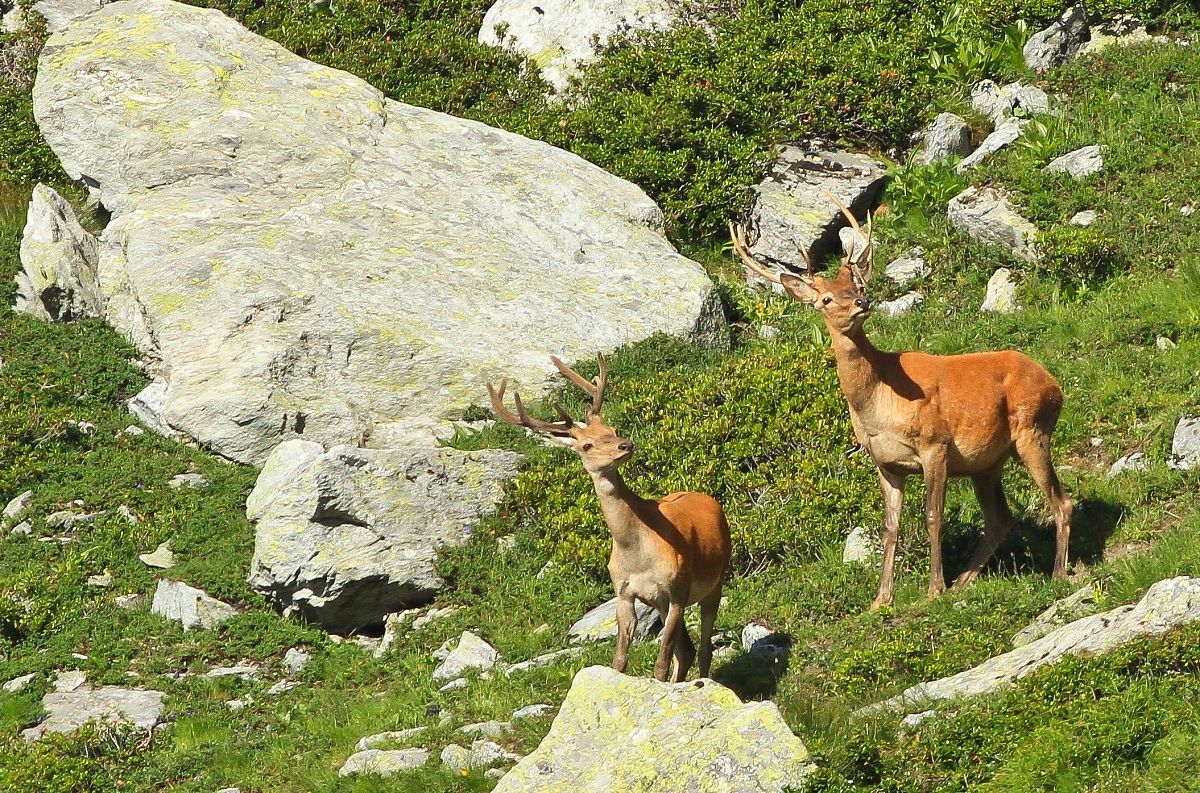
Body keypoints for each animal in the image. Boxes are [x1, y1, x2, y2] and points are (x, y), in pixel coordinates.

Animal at [489, 353, 731, 682]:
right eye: (587, 445)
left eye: (614, 430)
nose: (626, 445)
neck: (638, 554)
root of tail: (708, 499)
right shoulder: (624, 591)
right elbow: (620, 660)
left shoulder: (678, 588)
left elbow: (660, 664)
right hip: (663, 601)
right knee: (687, 651)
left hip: (716, 579)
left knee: (704, 649)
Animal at [730, 196, 1073, 610]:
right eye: (826, 298)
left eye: (857, 283)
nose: (862, 302)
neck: (879, 403)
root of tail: (1053, 383)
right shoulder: (886, 463)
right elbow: (890, 527)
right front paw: (881, 599)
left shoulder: (935, 444)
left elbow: (932, 516)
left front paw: (933, 589)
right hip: (986, 463)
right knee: (1000, 519)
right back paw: (964, 581)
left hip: (1033, 427)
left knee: (1061, 501)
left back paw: (1057, 573)